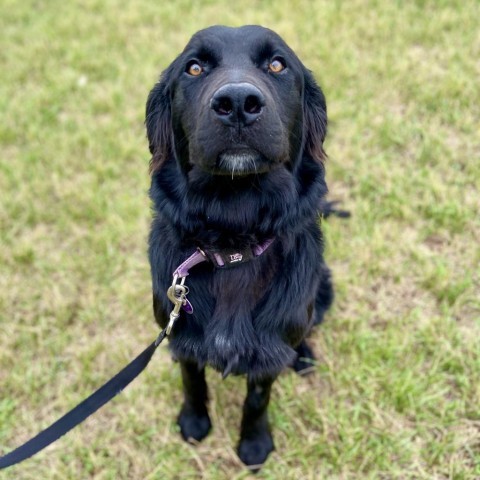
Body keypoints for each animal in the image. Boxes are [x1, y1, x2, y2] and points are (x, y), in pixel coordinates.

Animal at [146, 25, 334, 468]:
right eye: (194, 68)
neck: (233, 243)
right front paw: (194, 424)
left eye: (277, 64)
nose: (236, 104)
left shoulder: (269, 351)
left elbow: (258, 398)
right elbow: (192, 380)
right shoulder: (179, 335)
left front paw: (253, 445)